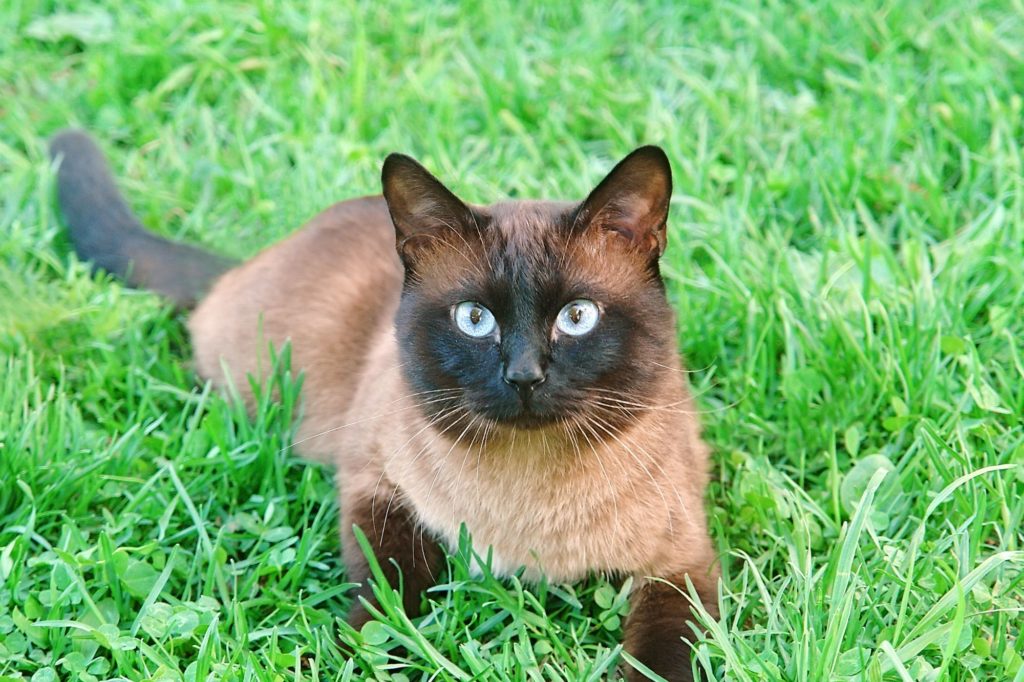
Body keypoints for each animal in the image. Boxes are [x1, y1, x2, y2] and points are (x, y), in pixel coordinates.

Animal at [48, 130, 720, 675]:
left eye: (577, 317)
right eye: (474, 319)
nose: (524, 376)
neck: (527, 504)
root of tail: (255, 260)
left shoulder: (679, 566)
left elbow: (664, 661)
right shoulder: (374, 488)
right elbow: (384, 603)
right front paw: (342, 660)